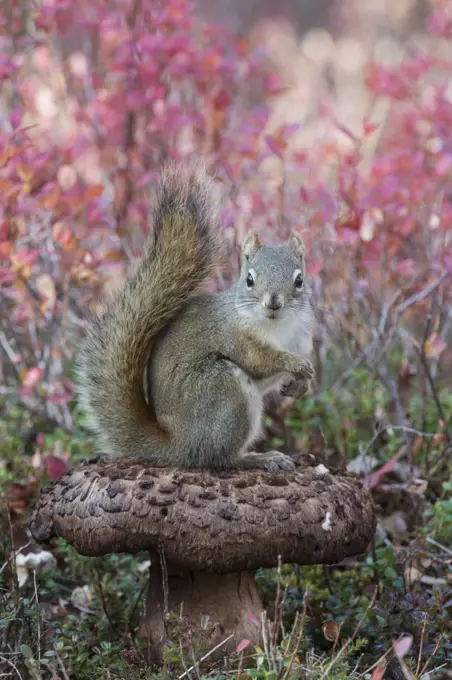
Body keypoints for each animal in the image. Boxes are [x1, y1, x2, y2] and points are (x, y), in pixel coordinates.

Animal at [77, 165, 314, 472]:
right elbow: (260, 360)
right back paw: (258, 458)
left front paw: (301, 384)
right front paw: (294, 364)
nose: (273, 302)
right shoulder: (236, 336)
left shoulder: (301, 338)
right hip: (223, 392)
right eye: (249, 279)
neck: (278, 326)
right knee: (218, 458)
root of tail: (177, 446)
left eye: (299, 280)